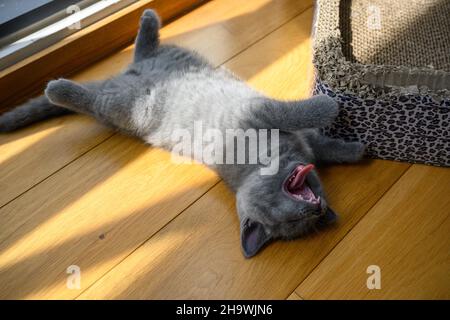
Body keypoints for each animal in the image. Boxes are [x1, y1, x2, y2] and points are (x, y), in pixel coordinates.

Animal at [0, 10, 366, 258]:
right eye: (290, 219)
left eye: (306, 221)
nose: (315, 210)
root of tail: (122, 78)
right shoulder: (260, 112)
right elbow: (299, 111)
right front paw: (330, 106)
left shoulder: (289, 131)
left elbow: (325, 145)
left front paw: (355, 150)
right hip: (126, 107)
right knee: (91, 99)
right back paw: (58, 88)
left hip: (161, 63)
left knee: (144, 49)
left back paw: (148, 18)